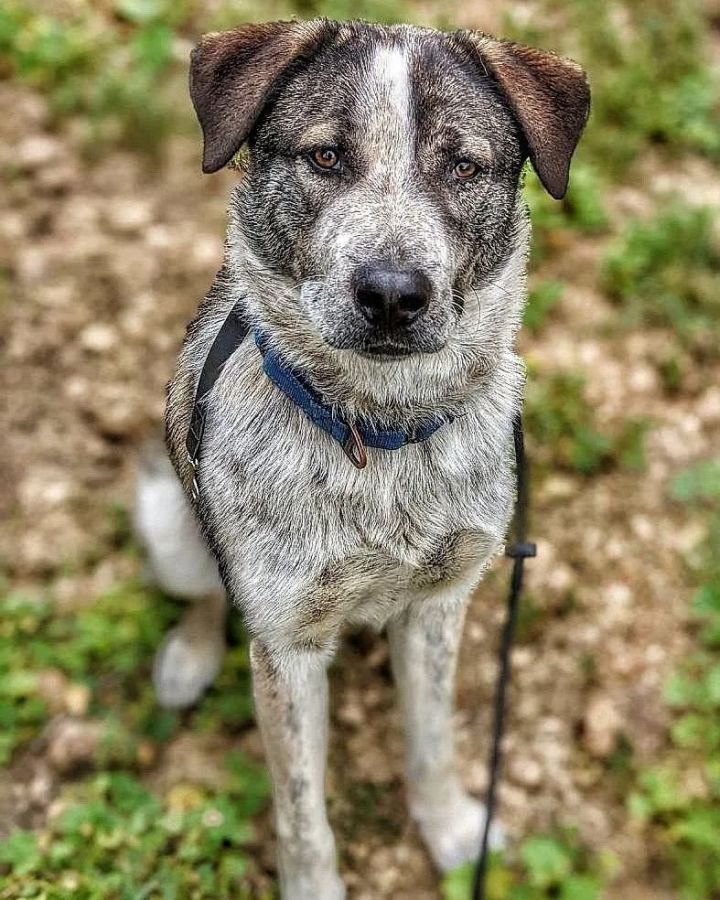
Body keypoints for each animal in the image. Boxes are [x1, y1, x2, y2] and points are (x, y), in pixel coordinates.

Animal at [134, 19, 584, 892]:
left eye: (463, 165)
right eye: (326, 157)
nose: (392, 295)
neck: (377, 431)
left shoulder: (442, 602)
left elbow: (434, 739)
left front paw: (452, 831)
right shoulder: (287, 645)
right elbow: (302, 810)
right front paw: (314, 887)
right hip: (168, 521)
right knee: (207, 592)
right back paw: (188, 658)